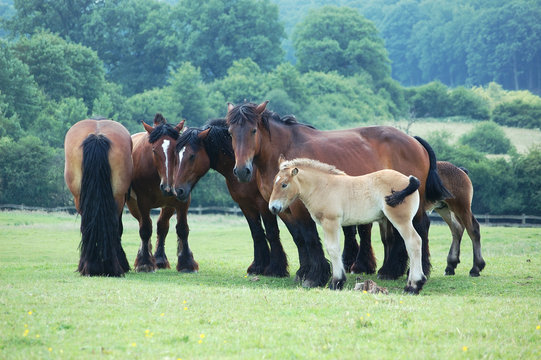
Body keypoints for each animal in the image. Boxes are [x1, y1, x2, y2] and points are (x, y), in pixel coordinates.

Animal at [126, 114, 198, 272]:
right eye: (154, 150)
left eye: (176, 149)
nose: (168, 187)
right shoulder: (142, 202)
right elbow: (145, 229)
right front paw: (145, 263)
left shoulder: (182, 200)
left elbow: (182, 229)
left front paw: (187, 263)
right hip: (133, 205)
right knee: (143, 224)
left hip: (168, 205)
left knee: (162, 226)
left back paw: (159, 259)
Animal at [174, 118, 288, 276]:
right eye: (176, 155)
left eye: (192, 156)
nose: (178, 190)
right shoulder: (245, 205)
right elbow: (257, 233)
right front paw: (258, 266)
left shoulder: (264, 204)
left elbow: (271, 232)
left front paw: (276, 268)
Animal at [270, 157, 426, 292]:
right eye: (274, 183)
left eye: (284, 184)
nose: (273, 208)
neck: (323, 187)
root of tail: (409, 180)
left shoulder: (331, 222)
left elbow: (333, 249)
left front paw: (336, 282)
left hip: (401, 220)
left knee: (414, 242)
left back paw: (414, 286)